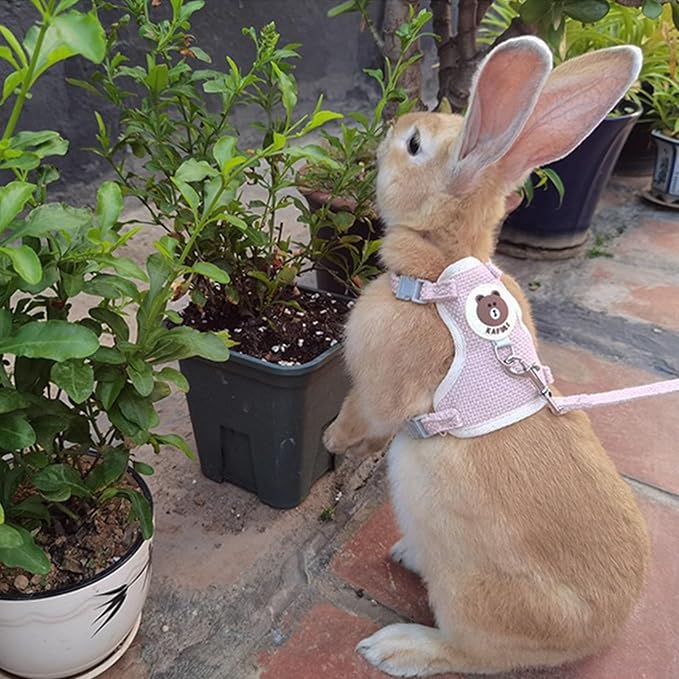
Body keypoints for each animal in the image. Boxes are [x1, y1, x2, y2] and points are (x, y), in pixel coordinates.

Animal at [323, 36, 650, 677]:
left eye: (414, 145)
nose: (390, 126)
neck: (440, 272)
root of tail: (599, 637)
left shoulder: (378, 387)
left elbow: (362, 418)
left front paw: (328, 441)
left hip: (469, 599)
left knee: (470, 654)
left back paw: (394, 645)